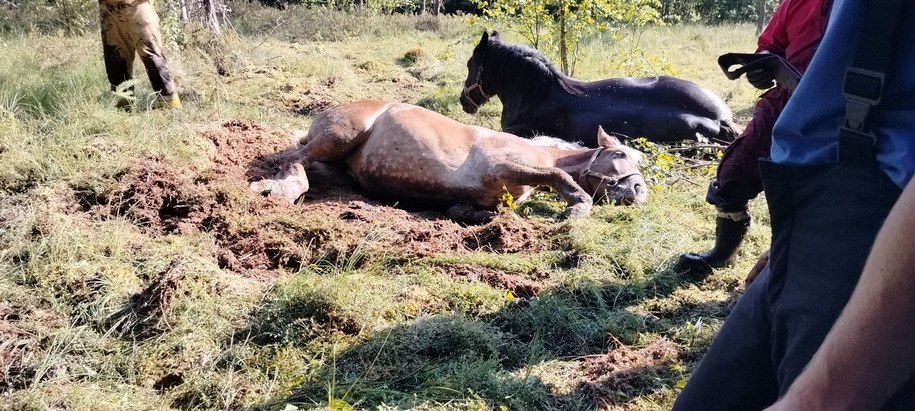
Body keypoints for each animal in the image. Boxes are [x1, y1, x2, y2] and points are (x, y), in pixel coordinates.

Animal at [250, 100, 648, 222]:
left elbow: (471, 210)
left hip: (341, 168)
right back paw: (278, 191)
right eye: (619, 154)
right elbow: (558, 176)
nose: (639, 191)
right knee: (294, 160)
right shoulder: (505, 165)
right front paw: (576, 209)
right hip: (342, 134)